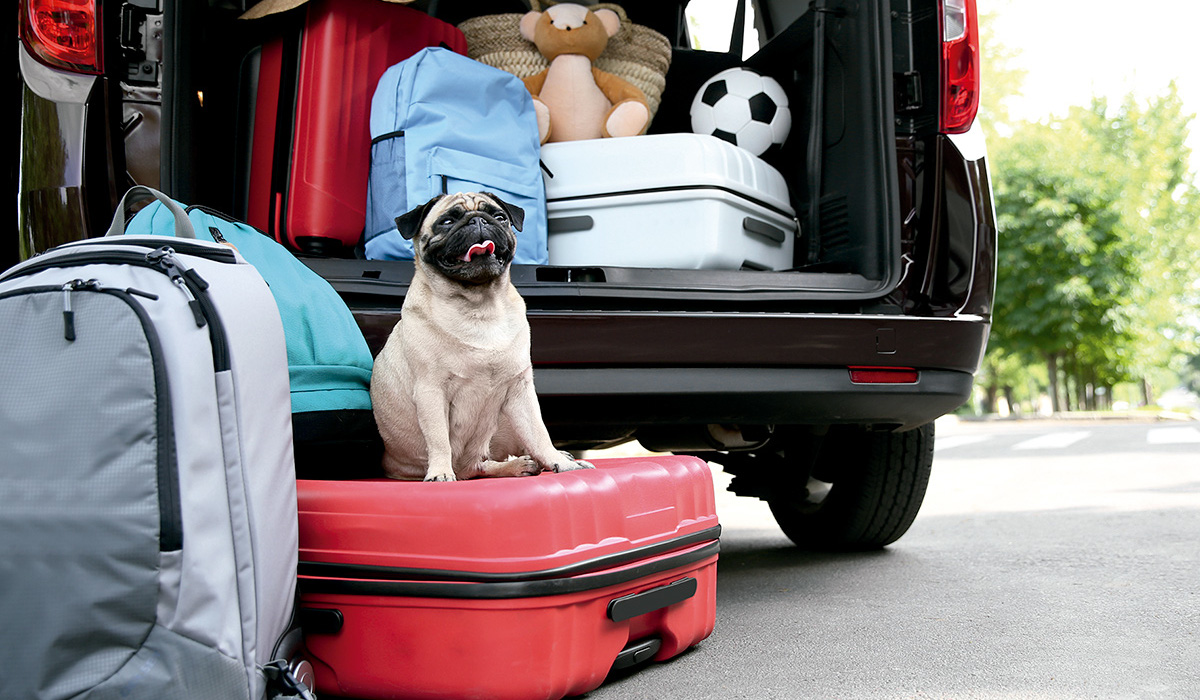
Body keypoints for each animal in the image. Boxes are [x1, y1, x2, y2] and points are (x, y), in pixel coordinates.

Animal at [364, 190, 590, 482]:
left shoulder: (520, 390)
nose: (478, 220)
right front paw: (439, 473)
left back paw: (521, 465)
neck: (480, 305)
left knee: (479, 465)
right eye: (447, 222)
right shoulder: (430, 390)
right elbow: (438, 438)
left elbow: (539, 433)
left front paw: (559, 462)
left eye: (499, 217)